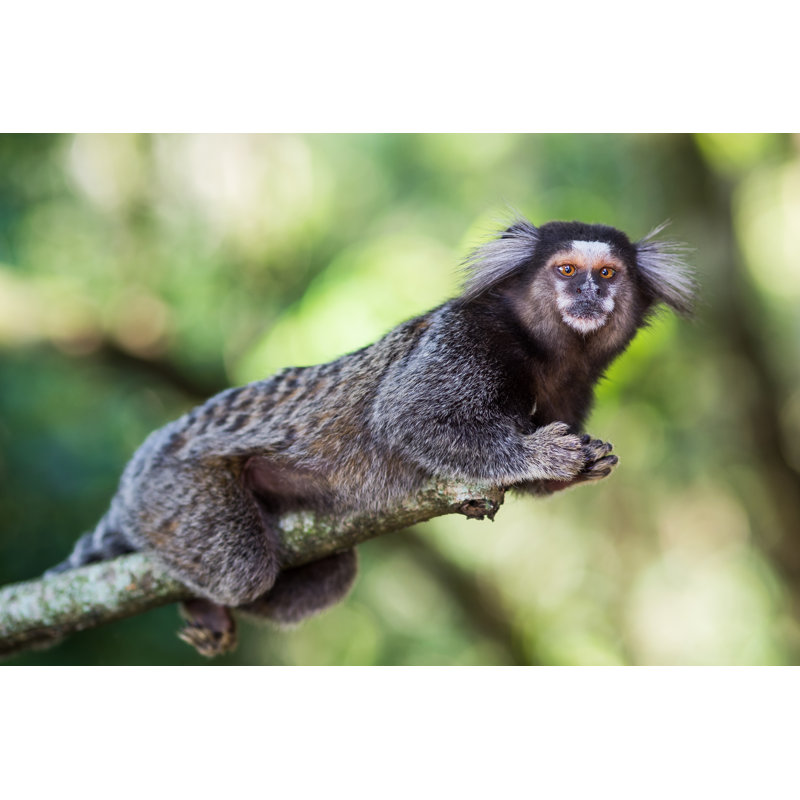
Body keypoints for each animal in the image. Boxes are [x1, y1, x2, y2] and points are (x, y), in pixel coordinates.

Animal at [46, 216, 694, 656]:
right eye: (566, 270)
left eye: (606, 274)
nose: (588, 295)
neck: (543, 351)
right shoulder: (464, 339)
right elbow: (409, 418)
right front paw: (545, 456)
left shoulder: (573, 387)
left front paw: (581, 464)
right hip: (174, 489)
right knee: (241, 569)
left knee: (330, 573)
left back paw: (202, 607)